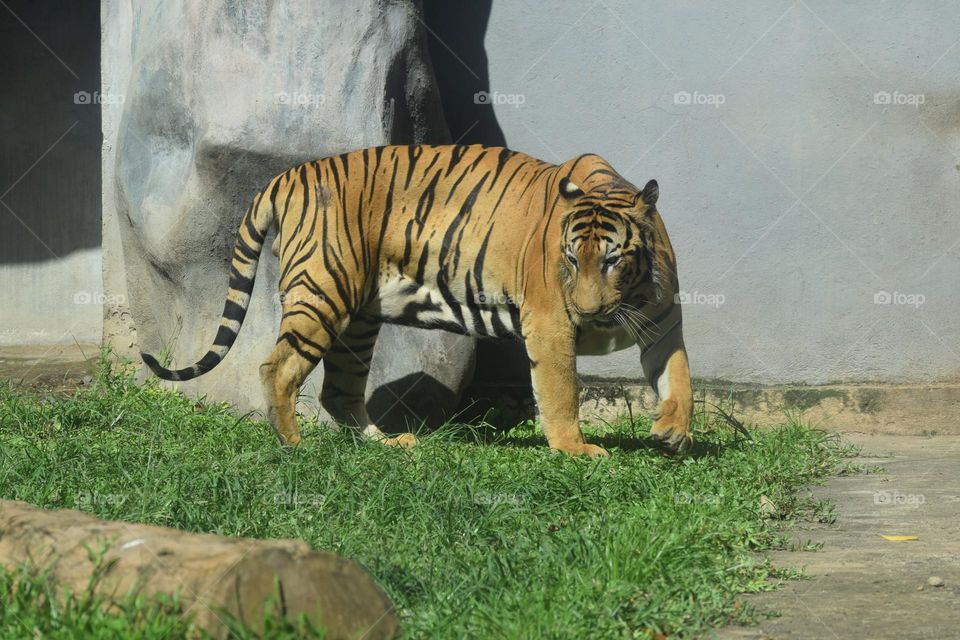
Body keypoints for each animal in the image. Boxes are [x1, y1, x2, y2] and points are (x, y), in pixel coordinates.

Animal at [142, 144, 693, 457]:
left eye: (612, 260)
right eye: (572, 260)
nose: (589, 313)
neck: (631, 293)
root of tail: (286, 176)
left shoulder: (664, 322)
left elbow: (680, 376)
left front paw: (673, 432)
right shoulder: (550, 322)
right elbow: (561, 391)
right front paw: (576, 450)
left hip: (359, 320)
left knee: (338, 391)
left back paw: (385, 444)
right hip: (323, 291)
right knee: (277, 368)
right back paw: (294, 447)